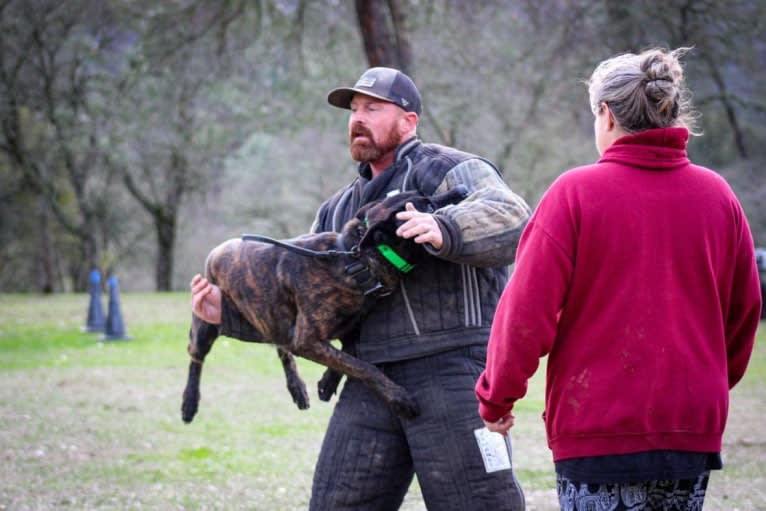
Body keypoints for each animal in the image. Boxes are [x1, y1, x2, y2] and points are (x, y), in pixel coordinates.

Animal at [183, 186, 468, 422]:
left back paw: (297, 388)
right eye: (426, 205)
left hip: (271, 319)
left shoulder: (348, 328)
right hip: (206, 324)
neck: (354, 259)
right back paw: (189, 402)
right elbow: (364, 366)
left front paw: (328, 381)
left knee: (282, 348)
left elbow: (349, 353)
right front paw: (398, 397)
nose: (462, 188)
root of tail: (219, 248)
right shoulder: (306, 340)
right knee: (196, 358)